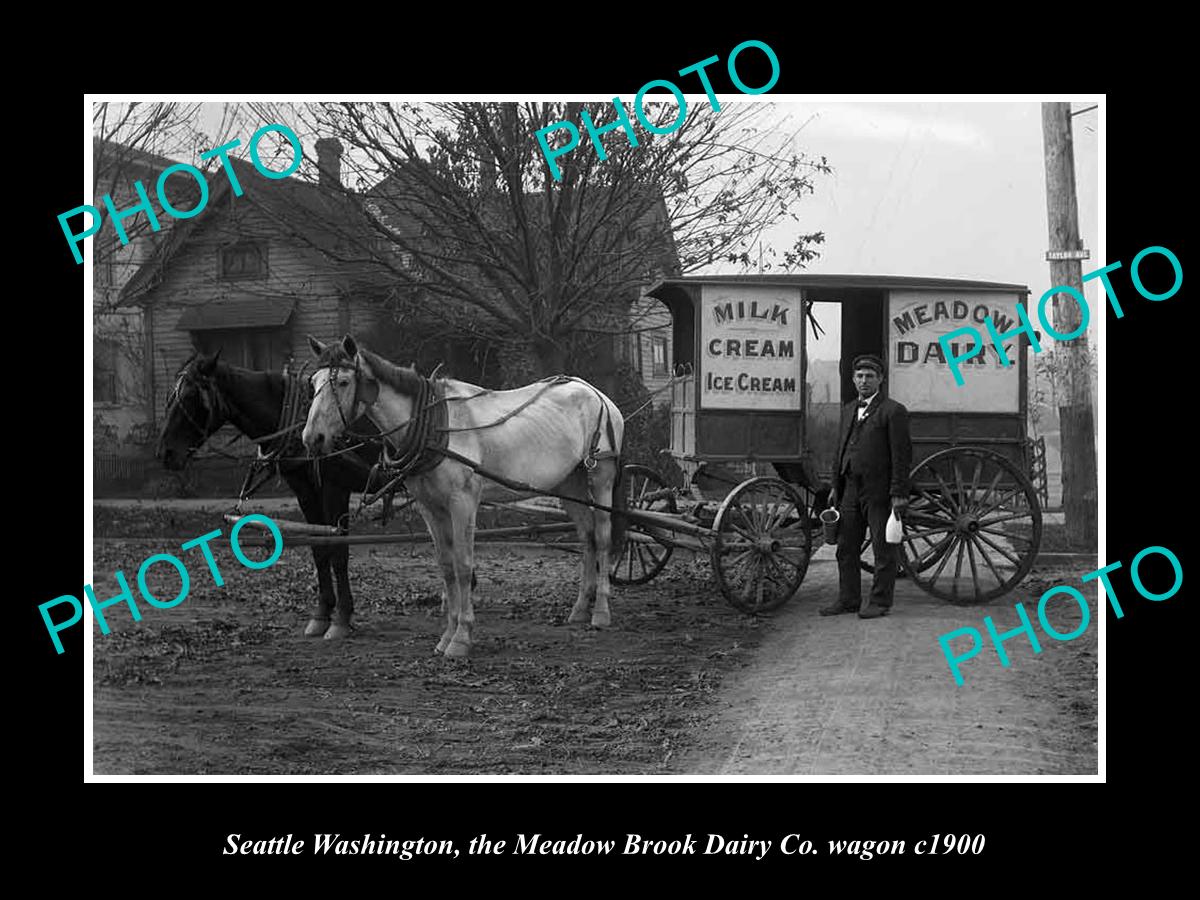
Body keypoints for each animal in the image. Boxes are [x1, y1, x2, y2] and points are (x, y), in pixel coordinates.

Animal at [154, 352, 379, 643]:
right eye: (171, 395)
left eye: (192, 396)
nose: (165, 453)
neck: (299, 418)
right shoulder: (306, 490)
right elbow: (319, 550)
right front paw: (321, 614)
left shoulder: (335, 487)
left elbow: (339, 552)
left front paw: (341, 617)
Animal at [302, 336, 628, 657]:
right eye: (313, 382)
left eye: (343, 381)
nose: (311, 438)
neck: (435, 424)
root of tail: (595, 393)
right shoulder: (431, 508)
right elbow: (446, 567)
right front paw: (448, 635)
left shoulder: (463, 503)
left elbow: (462, 565)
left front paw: (462, 637)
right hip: (569, 483)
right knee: (586, 536)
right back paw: (580, 609)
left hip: (600, 477)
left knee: (601, 537)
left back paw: (600, 611)